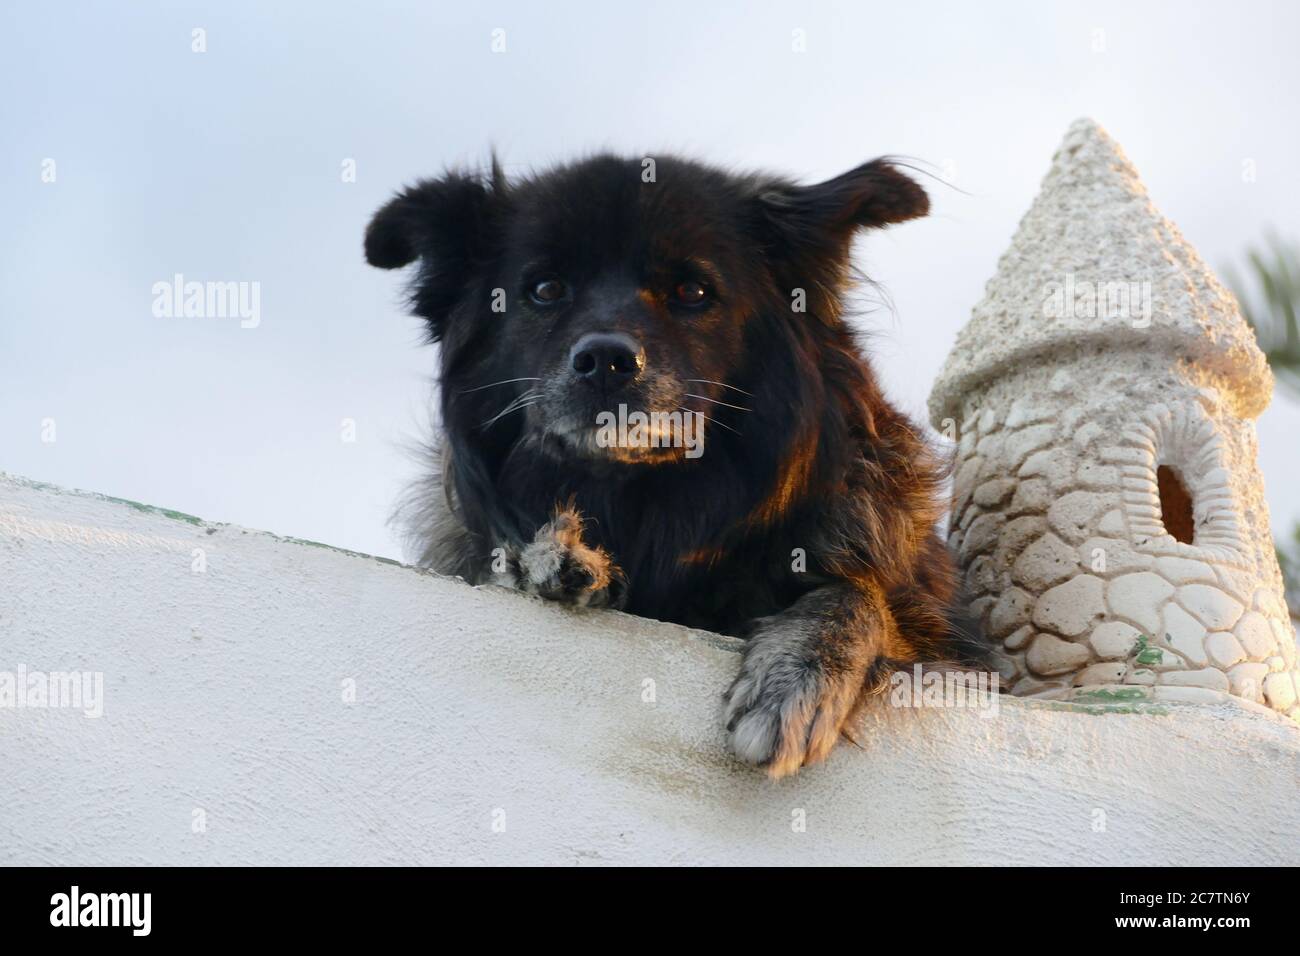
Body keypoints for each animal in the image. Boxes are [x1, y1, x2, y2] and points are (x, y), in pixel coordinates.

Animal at [366, 151, 993, 780]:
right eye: (545, 289)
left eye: (692, 290)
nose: (605, 361)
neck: (649, 506)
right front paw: (545, 557)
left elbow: (860, 594)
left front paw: (800, 674)